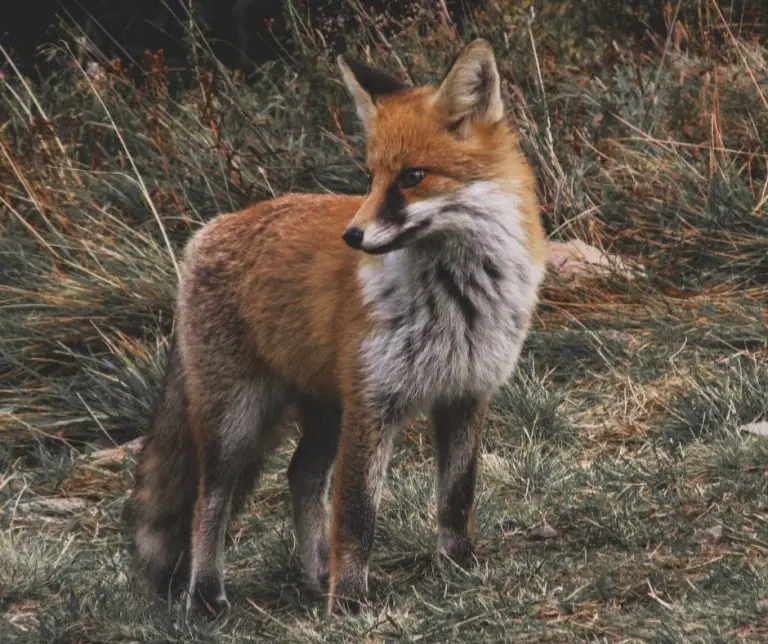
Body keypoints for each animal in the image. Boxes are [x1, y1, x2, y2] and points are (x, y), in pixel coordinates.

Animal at [124, 38, 547, 615]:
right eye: (370, 177)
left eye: (411, 177)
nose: (353, 236)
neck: (457, 298)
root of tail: (210, 230)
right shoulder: (373, 403)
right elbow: (356, 513)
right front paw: (348, 603)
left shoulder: (466, 392)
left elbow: (456, 498)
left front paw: (459, 567)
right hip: (237, 420)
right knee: (208, 501)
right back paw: (208, 595)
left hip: (325, 410)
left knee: (300, 476)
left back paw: (314, 574)